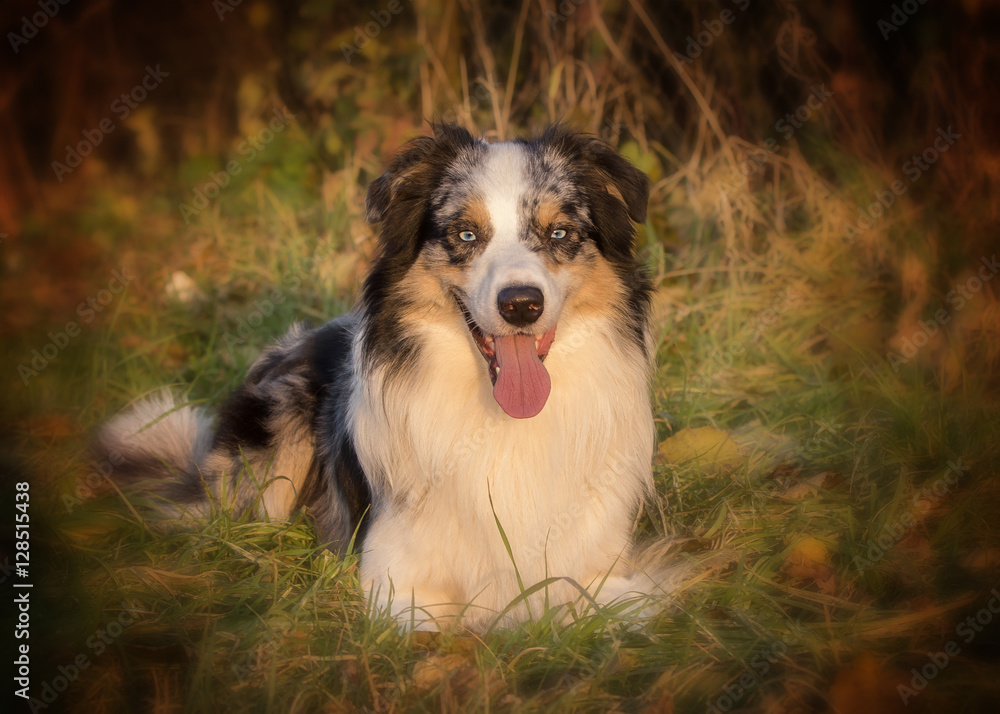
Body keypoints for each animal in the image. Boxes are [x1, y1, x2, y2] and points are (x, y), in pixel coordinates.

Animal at [99, 124, 680, 628]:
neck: (503, 420)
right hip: (276, 436)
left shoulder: (606, 569)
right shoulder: (395, 578)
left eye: (559, 232)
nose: (521, 305)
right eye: (464, 234)